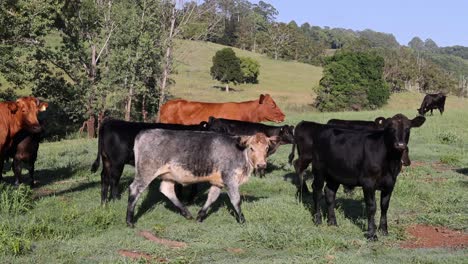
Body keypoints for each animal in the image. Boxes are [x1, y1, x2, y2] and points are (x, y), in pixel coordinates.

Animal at [127, 130, 274, 227]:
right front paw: (243, 220)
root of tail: (144, 133)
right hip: (146, 171)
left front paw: (200, 216)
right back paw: (129, 221)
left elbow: (212, 198)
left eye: (267, 148)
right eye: (251, 148)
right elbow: (236, 200)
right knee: (135, 189)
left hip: (168, 175)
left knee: (166, 190)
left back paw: (187, 213)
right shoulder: (230, 178)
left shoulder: (218, 181)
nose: (262, 165)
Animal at [288, 113, 424, 239]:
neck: (389, 162)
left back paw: (332, 222)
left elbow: (384, 206)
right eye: (391, 128)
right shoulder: (368, 182)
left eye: (408, 128)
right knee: (316, 190)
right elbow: (372, 207)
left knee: (329, 193)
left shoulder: (390, 182)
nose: (400, 145)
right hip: (318, 169)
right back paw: (318, 219)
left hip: (335, 174)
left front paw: (384, 230)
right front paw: (371, 234)